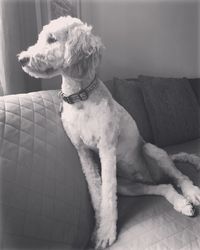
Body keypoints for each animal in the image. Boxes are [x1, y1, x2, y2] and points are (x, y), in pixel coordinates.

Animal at [18, 16, 200, 250]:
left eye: (51, 39)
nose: (22, 59)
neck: (80, 99)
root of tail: (152, 176)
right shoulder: (83, 153)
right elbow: (98, 194)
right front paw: (100, 228)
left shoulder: (106, 148)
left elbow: (107, 196)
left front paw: (106, 232)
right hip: (128, 187)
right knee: (165, 186)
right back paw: (180, 202)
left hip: (152, 150)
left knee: (180, 177)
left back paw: (192, 193)